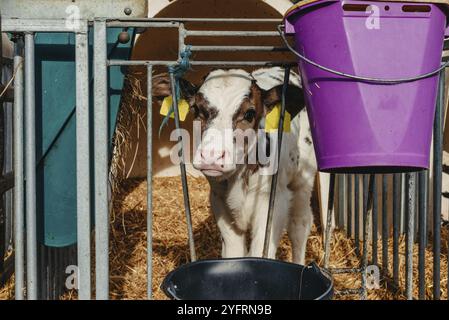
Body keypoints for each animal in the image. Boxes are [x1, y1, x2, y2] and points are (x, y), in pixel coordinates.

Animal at [154, 67, 316, 262]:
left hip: (303, 178)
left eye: (249, 113)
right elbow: (234, 252)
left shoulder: (273, 201)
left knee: (300, 224)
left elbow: (261, 251)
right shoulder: (219, 200)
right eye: (196, 109)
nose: (212, 156)